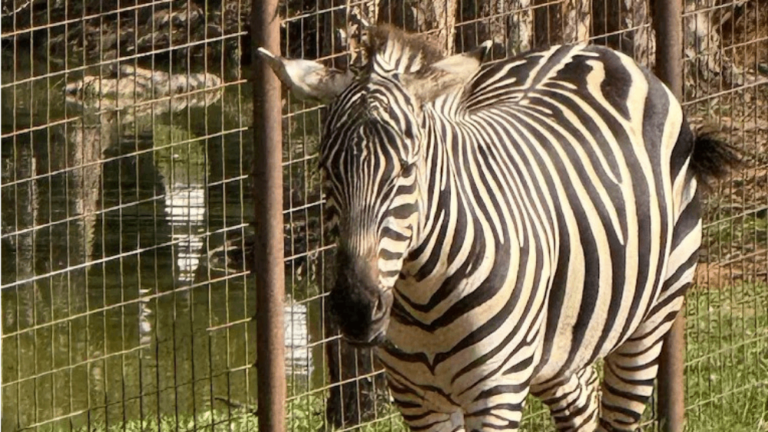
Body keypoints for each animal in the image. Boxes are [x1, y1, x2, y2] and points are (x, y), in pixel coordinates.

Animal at [258, 25, 737, 432]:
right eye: (325, 171)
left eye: (408, 170)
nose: (356, 308)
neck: (420, 293)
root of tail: (595, 49)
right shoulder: (417, 399)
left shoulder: (496, 393)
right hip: (559, 344)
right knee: (580, 404)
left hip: (652, 317)